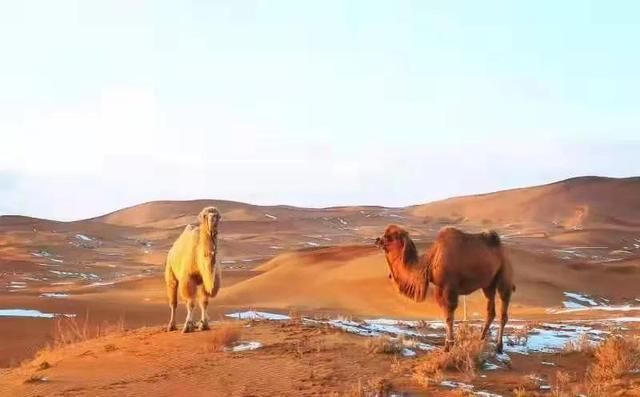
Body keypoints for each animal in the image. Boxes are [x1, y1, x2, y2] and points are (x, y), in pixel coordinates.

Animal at [376, 224, 516, 352]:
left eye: (390, 236)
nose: (377, 240)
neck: (430, 262)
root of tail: (504, 250)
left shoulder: (449, 288)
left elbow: (449, 316)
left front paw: (449, 346)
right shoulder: (439, 287)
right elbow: (445, 315)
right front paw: (447, 345)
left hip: (505, 275)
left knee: (503, 308)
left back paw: (499, 346)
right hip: (488, 284)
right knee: (490, 310)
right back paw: (481, 340)